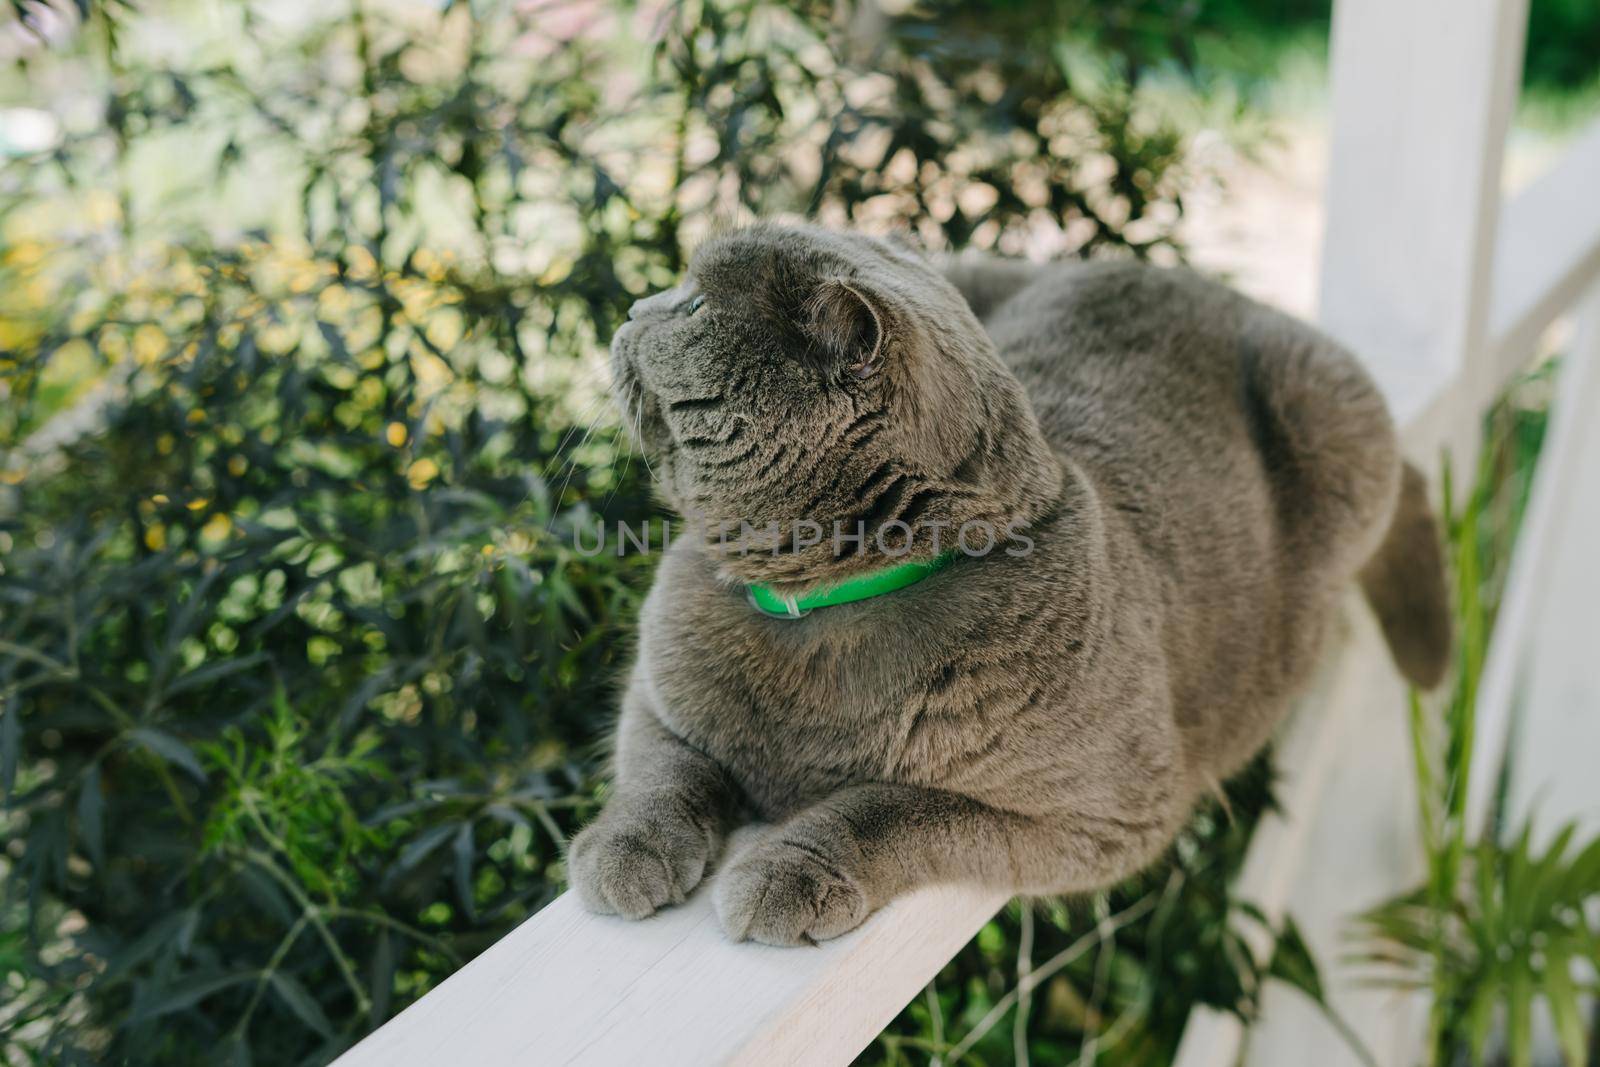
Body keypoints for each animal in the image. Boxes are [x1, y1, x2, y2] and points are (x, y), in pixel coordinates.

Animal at [576, 223, 1452, 940]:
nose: (631, 307)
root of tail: (1209, 283)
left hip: (1329, 413)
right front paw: (624, 848)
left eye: (693, 304)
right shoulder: (654, 690)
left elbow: (891, 807)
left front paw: (789, 870)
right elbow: (661, 768)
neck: (819, 605)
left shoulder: (1105, 812)